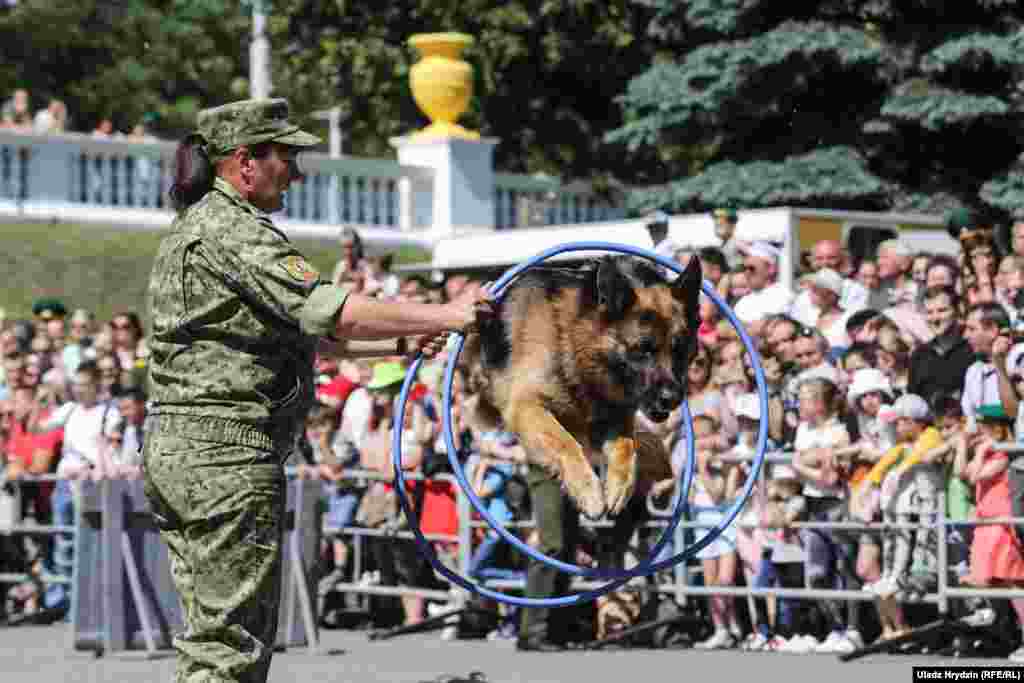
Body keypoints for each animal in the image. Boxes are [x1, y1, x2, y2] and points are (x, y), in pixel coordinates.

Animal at [464, 254, 704, 518]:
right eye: (643, 349)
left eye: (679, 349)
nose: (671, 398)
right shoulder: (526, 405)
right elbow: (563, 442)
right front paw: (589, 492)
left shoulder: (617, 417)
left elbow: (627, 447)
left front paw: (620, 487)